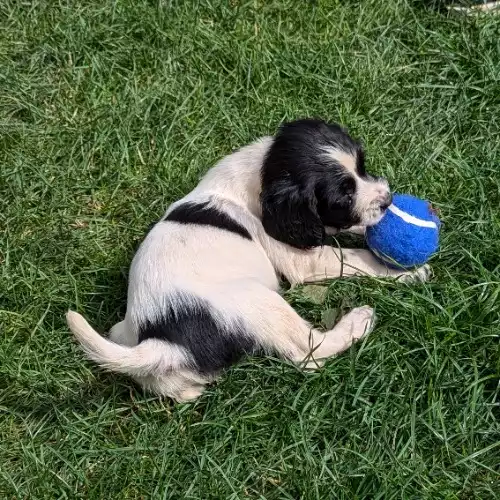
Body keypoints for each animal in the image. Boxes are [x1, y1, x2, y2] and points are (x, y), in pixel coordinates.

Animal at [67, 118, 430, 402]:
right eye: (344, 195)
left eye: (362, 168)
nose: (388, 199)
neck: (259, 171)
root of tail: (162, 341)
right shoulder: (305, 258)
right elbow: (358, 257)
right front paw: (406, 269)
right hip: (258, 301)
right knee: (309, 352)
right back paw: (359, 322)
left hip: (126, 338)